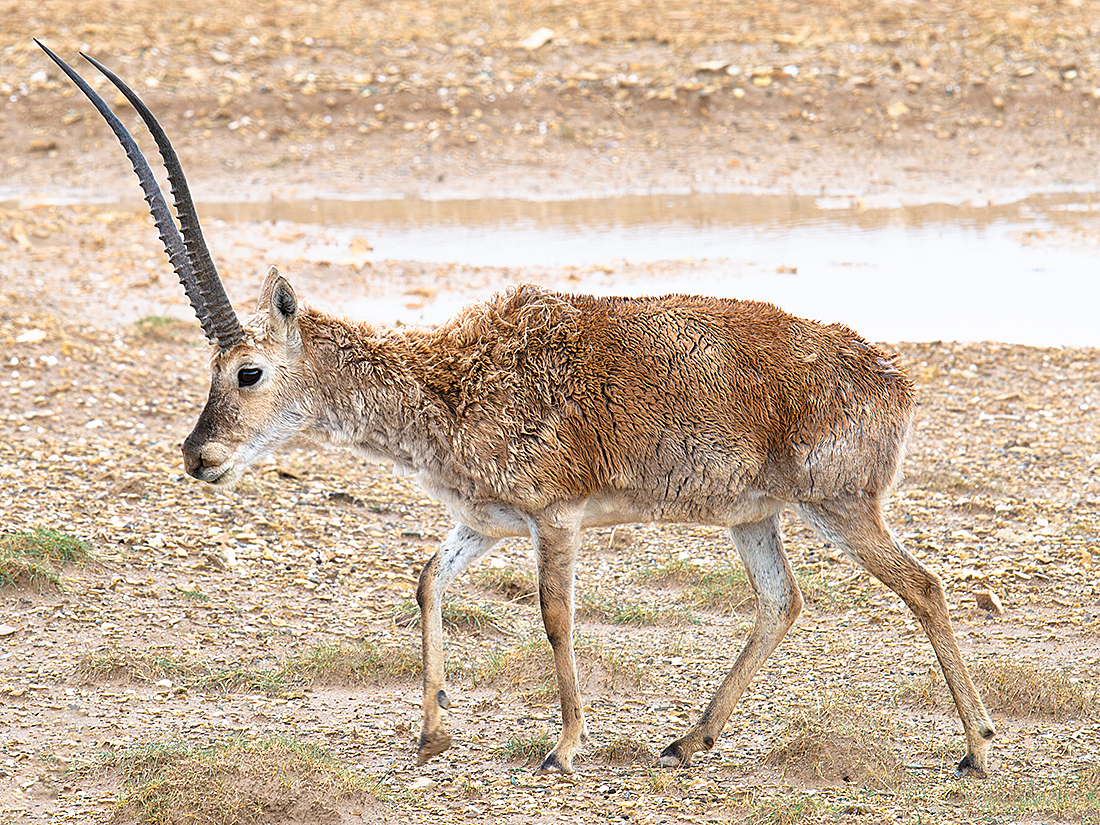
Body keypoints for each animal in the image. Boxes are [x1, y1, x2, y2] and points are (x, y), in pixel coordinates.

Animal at [45, 43, 998, 783]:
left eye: (247, 371)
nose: (198, 456)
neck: (453, 377)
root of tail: (891, 375)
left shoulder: (556, 518)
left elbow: (554, 617)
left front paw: (564, 746)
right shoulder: (483, 521)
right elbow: (427, 580)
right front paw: (431, 733)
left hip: (841, 505)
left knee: (924, 584)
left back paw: (978, 748)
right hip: (755, 516)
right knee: (781, 601)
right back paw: (688, 739)